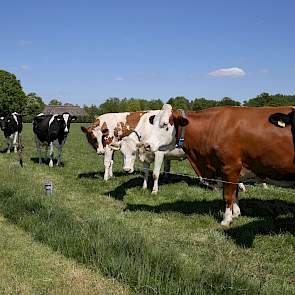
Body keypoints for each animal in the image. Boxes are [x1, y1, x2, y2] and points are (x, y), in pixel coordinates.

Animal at [144, 104, 295, 229]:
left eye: (165, 124)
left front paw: (226, 219)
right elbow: (234, 193)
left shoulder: (230, 167)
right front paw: (236, 213)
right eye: (154, 122)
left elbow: (228, 195)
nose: (146, 145)